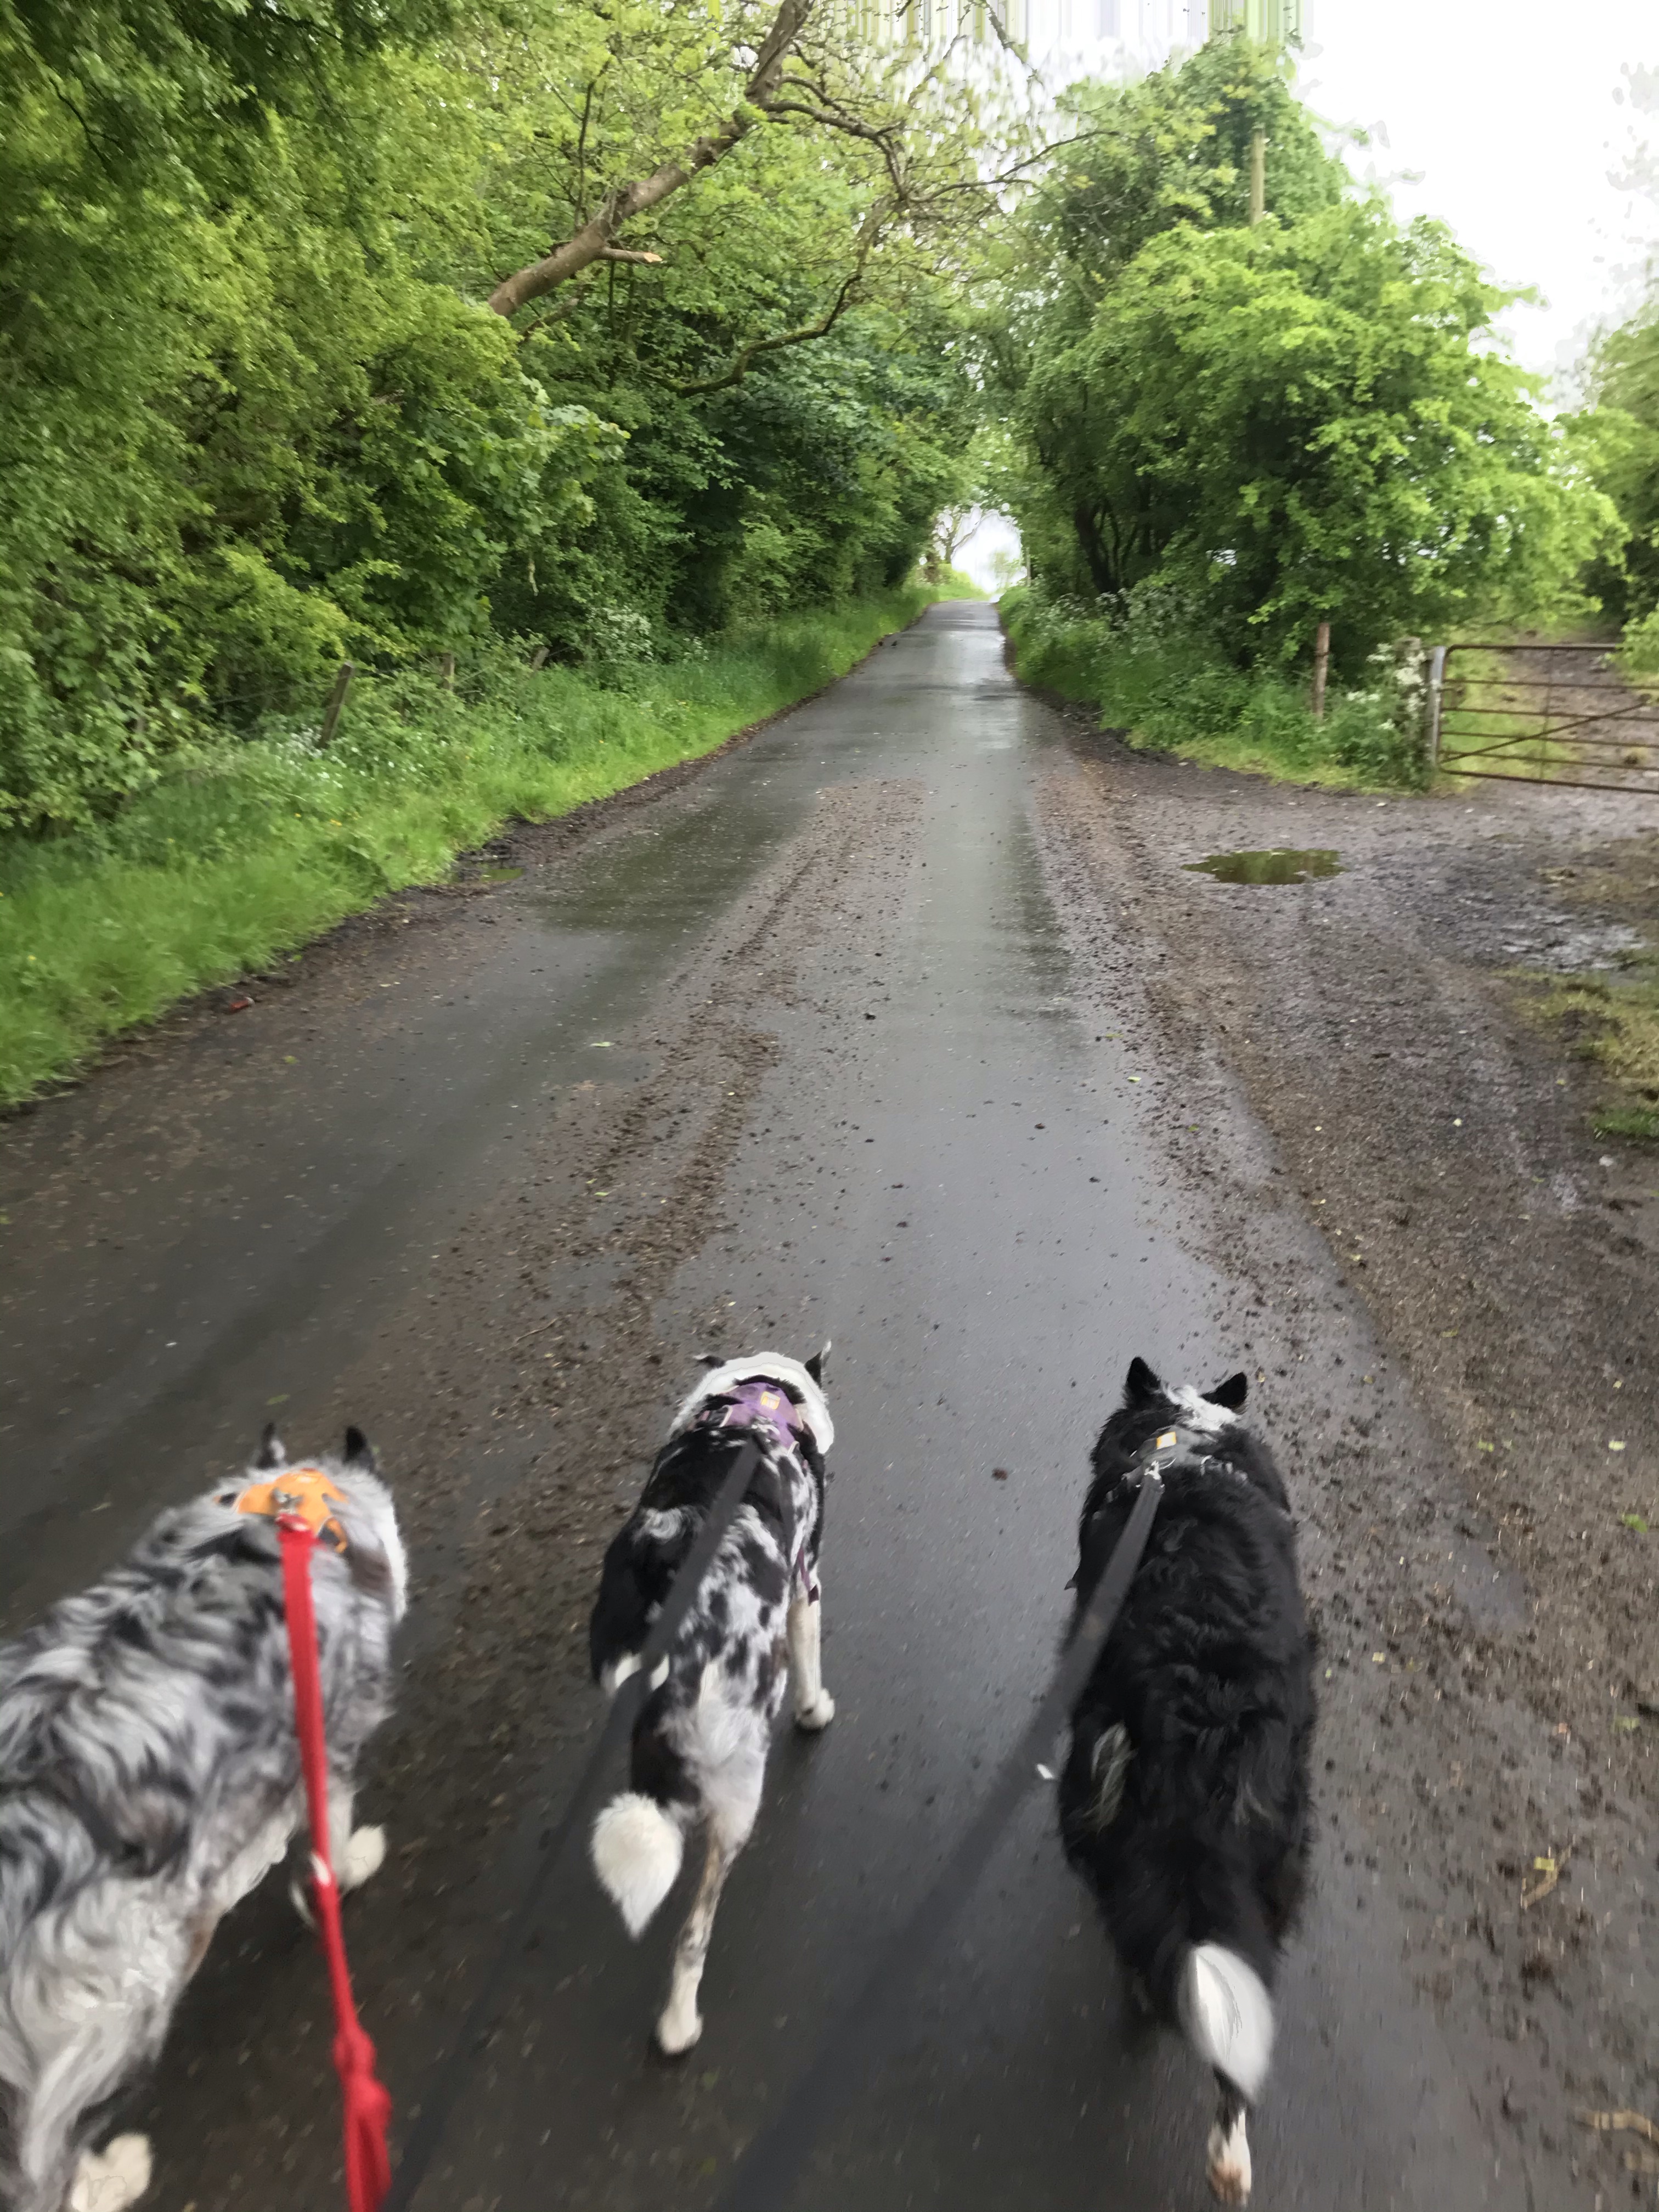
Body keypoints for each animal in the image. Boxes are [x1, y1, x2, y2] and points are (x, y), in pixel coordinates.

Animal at [0, 1427, 405, 2212]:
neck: (288, 1510)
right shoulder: (328, 1737)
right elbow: (331, 1846)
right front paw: (344, 1873)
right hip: (117, 1991)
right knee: (43, 2161)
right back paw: (112, 2176)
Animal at [588, 1350, 834, 2056]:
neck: (759, 1399)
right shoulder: (806, 1588)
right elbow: (810, 1663)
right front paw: (815, 1712)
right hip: (736, 1794)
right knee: (694, 1933)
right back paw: (678, 2026)